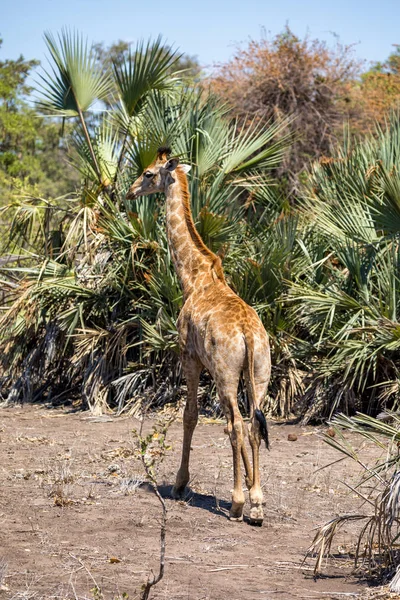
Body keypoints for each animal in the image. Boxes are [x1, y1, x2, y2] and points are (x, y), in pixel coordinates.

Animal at [127, 146, 272, 524]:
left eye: (148, 173)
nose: (130, 192)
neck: (193, 278)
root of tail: (248, 335)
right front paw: (251, 488)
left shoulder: (188, 355)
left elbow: (190, 415)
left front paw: (180, 484)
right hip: (259, 373)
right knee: (252, 424)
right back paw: (256, 504)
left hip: (225, 372)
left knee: (237, 425)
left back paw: (236, 504)